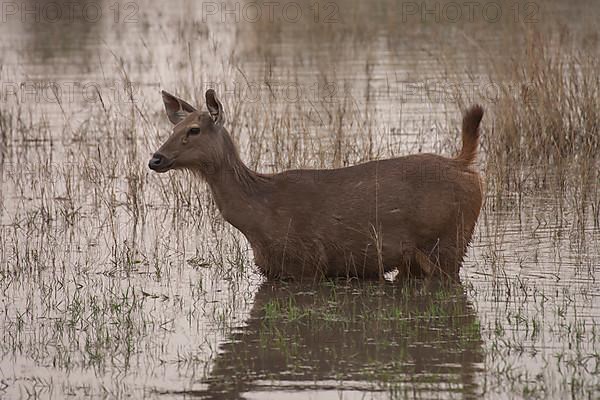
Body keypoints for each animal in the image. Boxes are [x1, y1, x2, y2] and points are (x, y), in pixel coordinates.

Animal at [150, 88, 482, 280]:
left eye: (193, 130)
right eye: (173, 128)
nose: (155, 158)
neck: (258, 215)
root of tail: (463, 165)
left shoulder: (307, 262)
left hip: (448, 241)